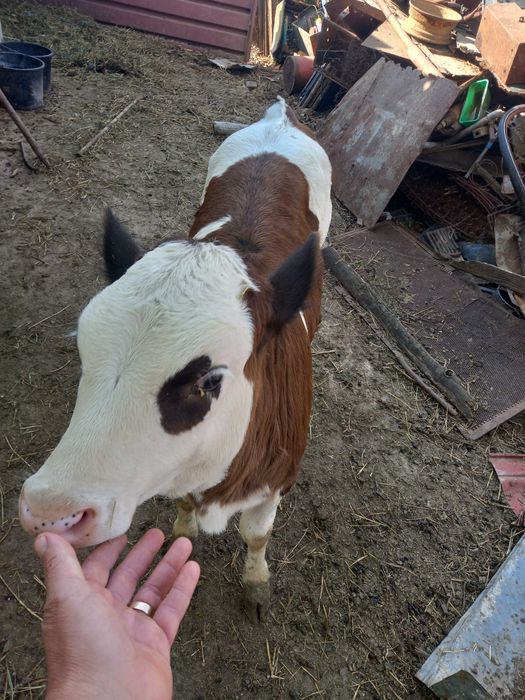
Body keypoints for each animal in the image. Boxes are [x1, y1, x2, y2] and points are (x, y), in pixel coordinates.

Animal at [19, 97, 332, 621]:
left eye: (208, 381)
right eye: (85, 352)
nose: (47, 511)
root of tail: (281, 115)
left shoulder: (279, 479)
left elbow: (257, 533)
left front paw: (255, 583)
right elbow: (184, 506)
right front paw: (181, 537)